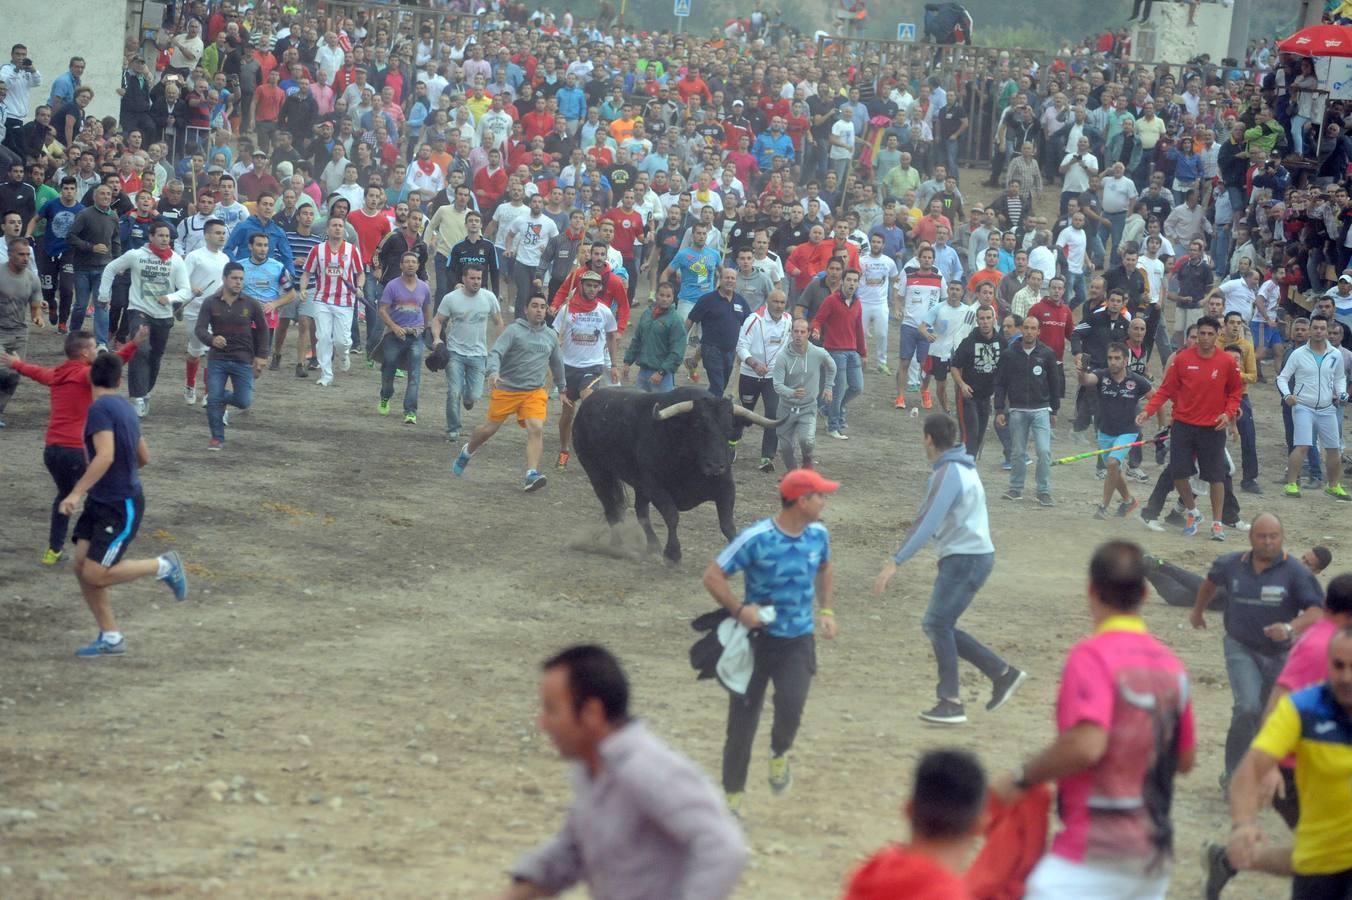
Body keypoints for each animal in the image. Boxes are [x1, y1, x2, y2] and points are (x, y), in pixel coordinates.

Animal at [570, 386, 784, 562]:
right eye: (698, 425)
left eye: (729, 427)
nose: (715, 466)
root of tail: (586, 405)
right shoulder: (656, 487)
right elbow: (672, 516)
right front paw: (673, 553)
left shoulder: (726, 487)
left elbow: (727, 524)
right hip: (598, 473)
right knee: (612, 510)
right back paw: (618, 546)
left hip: (636, 485)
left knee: (640, 512)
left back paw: (652, 547)